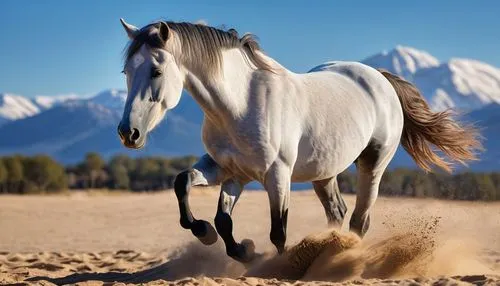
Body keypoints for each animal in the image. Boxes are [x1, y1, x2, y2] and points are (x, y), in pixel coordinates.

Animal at [116, 19, 480, 262]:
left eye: (156, 71)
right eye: (126, 72)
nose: (128, 133)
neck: (240, 104)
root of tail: (380, 77)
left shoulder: (276, 175)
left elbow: (278, 230)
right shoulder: (230, 172)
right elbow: (202, 201)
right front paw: (218, 239)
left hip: (373, 163)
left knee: (359, 219)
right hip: (324, 172)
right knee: (338, 211)